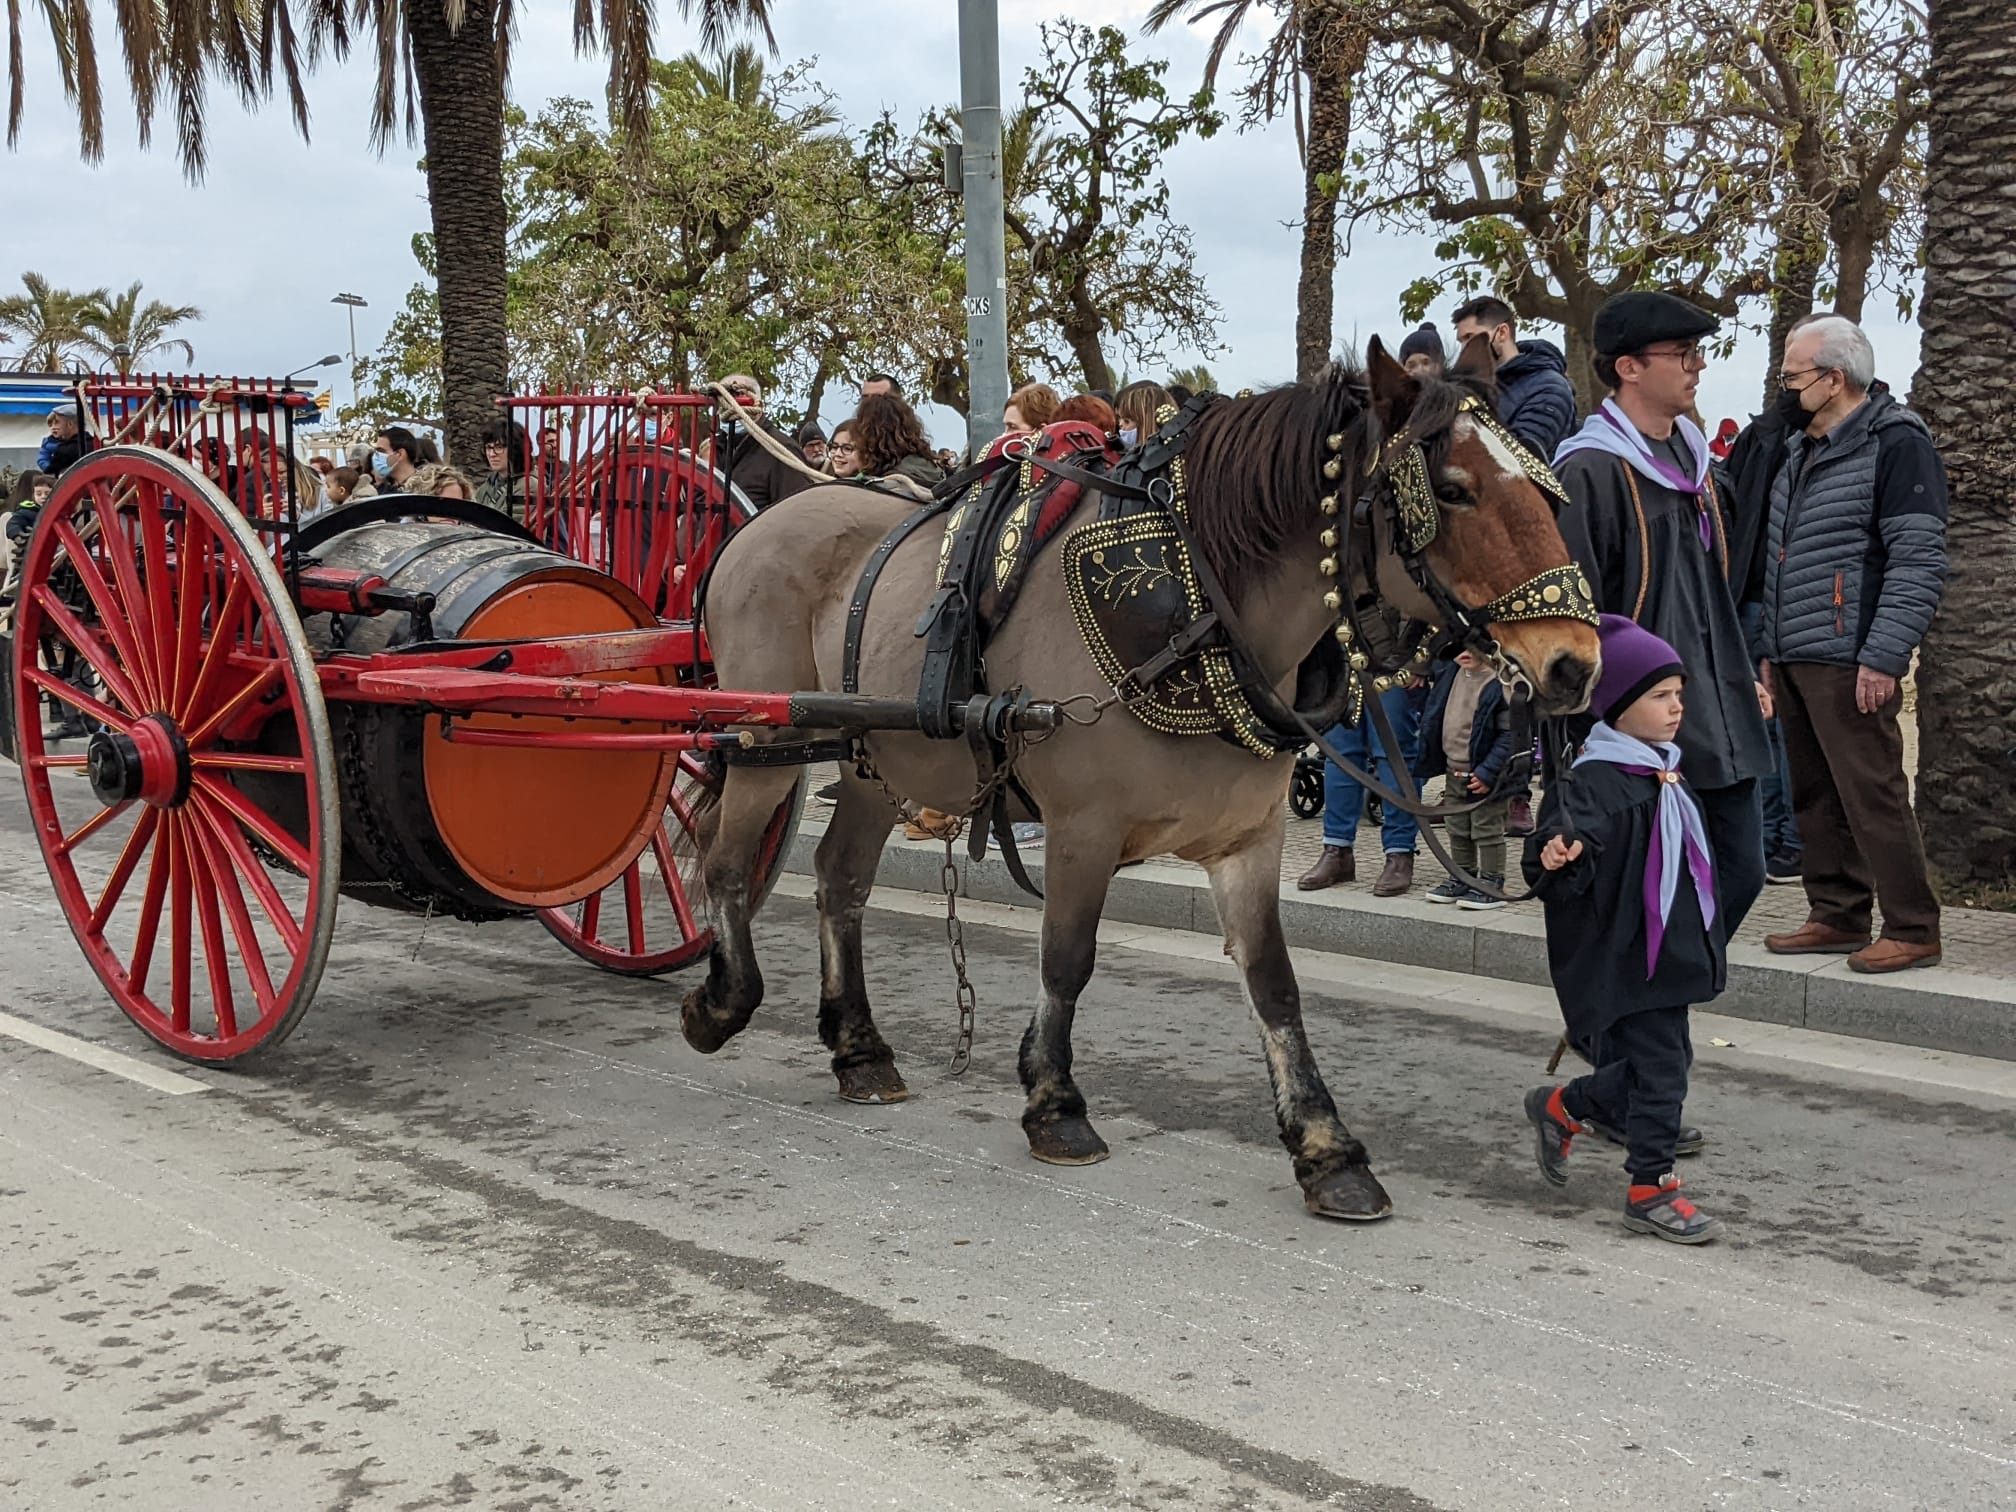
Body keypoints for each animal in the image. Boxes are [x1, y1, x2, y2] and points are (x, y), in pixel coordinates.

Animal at [685, 340, 1596, 1217]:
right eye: (1453, 490)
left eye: (1546, 491)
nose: (1574, 664)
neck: (1198, 615)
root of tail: (757, 525)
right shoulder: (1082, 828)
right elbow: (1066, 959)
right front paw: (1054, 1103)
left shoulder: (1249, 839)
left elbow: (1273, 982)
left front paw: (1325, 1146)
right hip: (770, 735)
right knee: (727, 864)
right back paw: (722, 1001)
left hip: (878, 756)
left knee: (839, 880)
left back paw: (860, 1050)